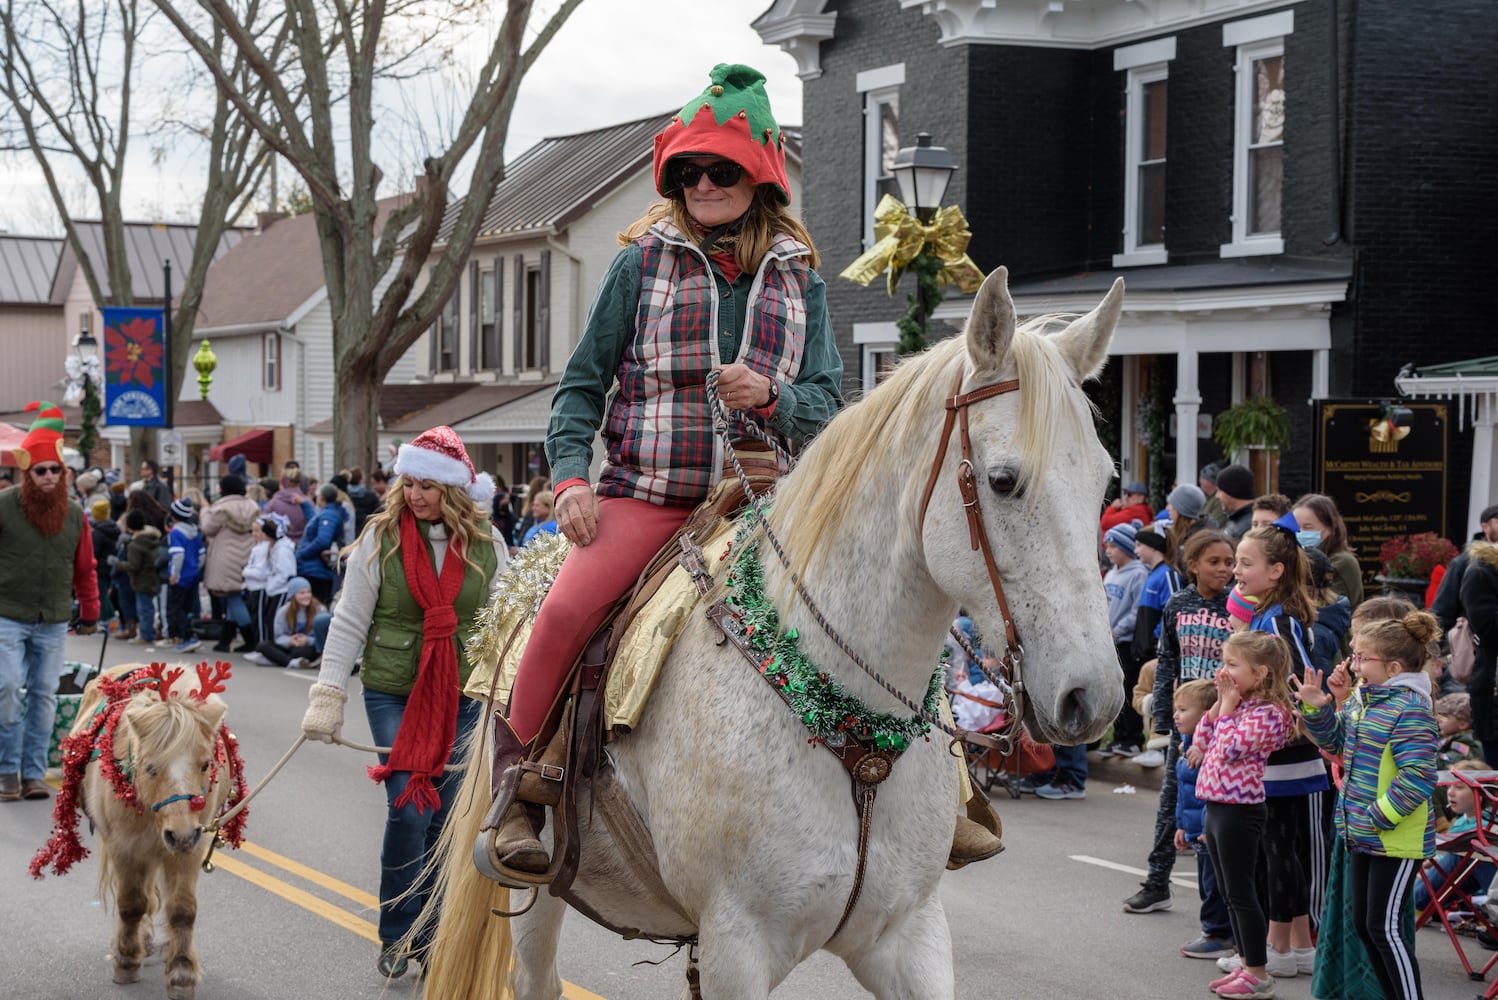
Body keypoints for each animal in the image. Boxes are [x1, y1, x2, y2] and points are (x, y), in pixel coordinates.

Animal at [30, 664, 247, 999]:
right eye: (150, 767)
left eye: (205, 764)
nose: (181, 834)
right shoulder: (126, 846)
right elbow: (132, 904)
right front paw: (127, 960)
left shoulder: (191, 849)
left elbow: (182, 910)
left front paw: (181, 973)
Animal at [422, 267, 1126, 999]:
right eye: (1003, 480)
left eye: (1107, 479)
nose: (1093, 697)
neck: (852, 731)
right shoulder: (739, 947)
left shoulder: (909, 935)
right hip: (540, 885)